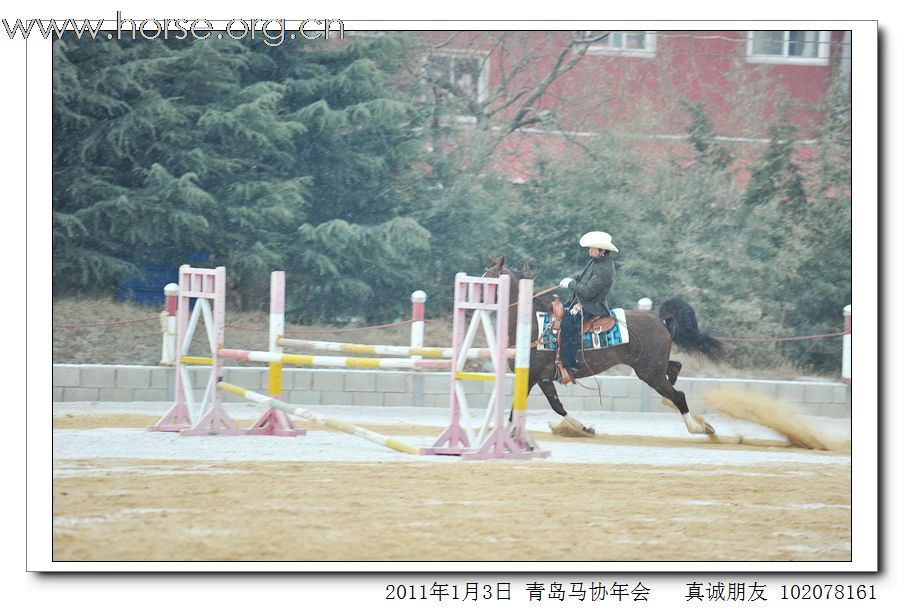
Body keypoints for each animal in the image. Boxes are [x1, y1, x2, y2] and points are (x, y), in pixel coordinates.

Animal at [480, 256, 728, 438]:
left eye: (491, 280)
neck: (533, 326)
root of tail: (660, 321)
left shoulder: (534, 375)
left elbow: (536, 405)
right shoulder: (541, 378)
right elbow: (554, 405)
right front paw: (583, 428)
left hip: (650, 373)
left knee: (679, 395)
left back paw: (698, 427)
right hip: (652, 368)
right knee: (675, 370)